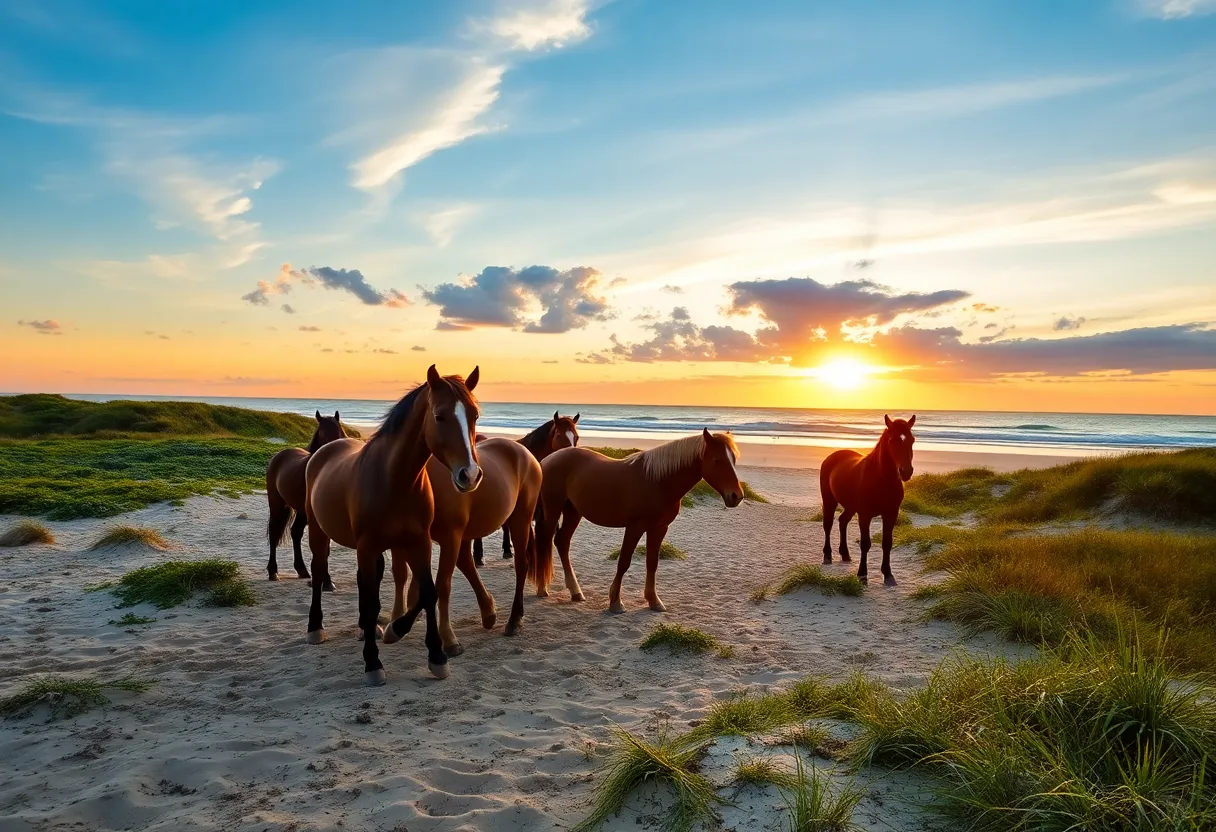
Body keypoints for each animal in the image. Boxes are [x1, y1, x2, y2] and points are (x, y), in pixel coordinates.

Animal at [264, 410, 346, 584]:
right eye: (322, 433)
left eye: (339, 431)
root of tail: (278, 456)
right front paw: (326, 581)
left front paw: (327, 580)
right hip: (277, 504)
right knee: (274, 533)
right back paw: (273, 572)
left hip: (301, 511)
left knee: (295, 532)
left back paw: (302, 569)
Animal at [304, 365, 482, 685]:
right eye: (440, 416)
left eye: (474, 415)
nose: (470, 475)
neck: (394, 480)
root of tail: (325, 450)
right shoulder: (368, 545)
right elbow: (373, 601)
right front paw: (373, 663)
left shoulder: (418, 542)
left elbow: (428, 592)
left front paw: (429, 652)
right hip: (319, 532)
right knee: (319, 568)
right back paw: (315, 628)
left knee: (364, 580)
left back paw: (367, 628)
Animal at [391, 438, 542, 655]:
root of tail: (525, 453)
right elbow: (410, 578)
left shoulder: (450, 536)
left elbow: (440, 584)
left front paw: (448, 640)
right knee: (466, 562)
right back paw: (488, 613)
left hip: (520, 519)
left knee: (521, 564)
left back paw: (514, 620)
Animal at [534, 429, 743, 613]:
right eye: (717, 460)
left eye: (733, 460)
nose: (737, 496)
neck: (658, 481)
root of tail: (547, 459)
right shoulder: (635, 526)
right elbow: (624, 561)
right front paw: (615, 603)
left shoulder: (659, 528)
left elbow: (652, 563)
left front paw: (654, 601)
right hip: (553, 510)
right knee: (544, 540)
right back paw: (542, 588)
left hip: (573, 512)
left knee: (562, 542)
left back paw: (576, 592)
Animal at [819, 414, 916, 587]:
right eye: (892, 440)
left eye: (912, 440)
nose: (906, 472)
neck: (880, 479)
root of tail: (831, 456)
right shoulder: (865, 515)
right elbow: (865, 543)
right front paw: (862, 575)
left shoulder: (891, 514)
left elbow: (887, 543)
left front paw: (888, 575)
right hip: (829, 500)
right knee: (828, 525)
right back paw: (827, 556)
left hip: (851, 507)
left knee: (842, 521)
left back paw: (845, 554)